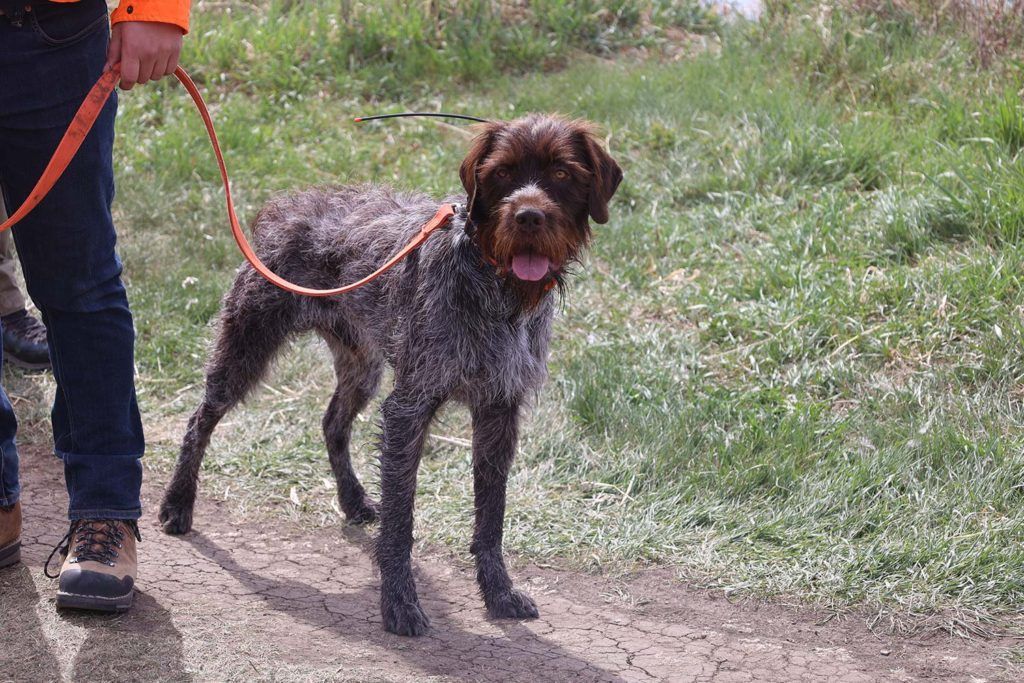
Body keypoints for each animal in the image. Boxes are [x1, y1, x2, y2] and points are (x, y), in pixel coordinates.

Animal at [157, 113, 622, 634]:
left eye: (562, 173)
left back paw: (353, 499)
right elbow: (403, 519)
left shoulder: (498, 410)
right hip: (246, 348)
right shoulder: (409, 408)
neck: (497, 292)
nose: (528, 218)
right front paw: (399, 601)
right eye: (502, 172)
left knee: (332, 423)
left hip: (362, 366)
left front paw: (498, 592)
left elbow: (491, 516)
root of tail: (286, 207)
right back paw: (178, 502)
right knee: (199, 420)